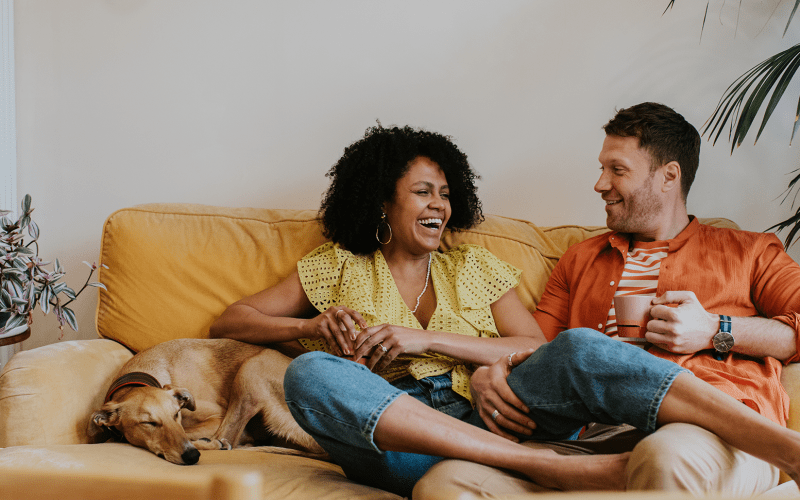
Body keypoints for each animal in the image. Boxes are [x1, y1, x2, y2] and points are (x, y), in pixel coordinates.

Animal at [87, 338, 324, 462]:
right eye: (148, 423)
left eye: (176, 414)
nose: (192, 456)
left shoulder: (215, 418)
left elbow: (191, 432)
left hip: (252, 367)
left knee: (227, 439)